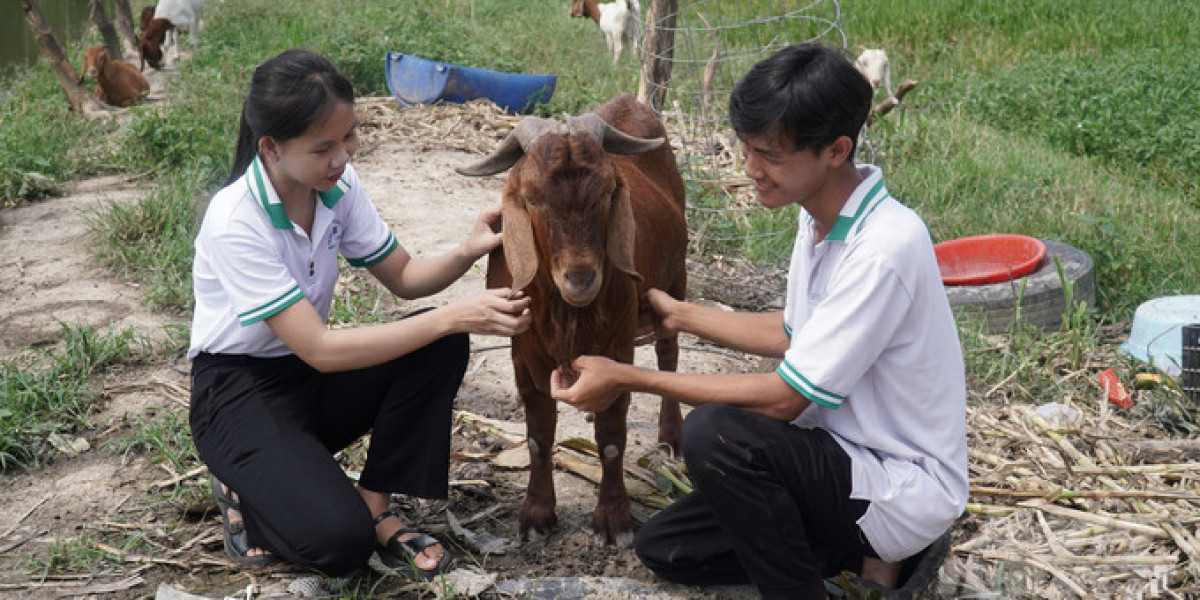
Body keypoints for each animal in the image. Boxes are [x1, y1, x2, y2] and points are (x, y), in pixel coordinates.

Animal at [456, 92, 686, 544]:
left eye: (608, 193)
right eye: (532, 199)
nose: (580, 277)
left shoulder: (617, 344)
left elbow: (612, 438)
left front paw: (613, 520)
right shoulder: (523, 349)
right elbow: (538, 435)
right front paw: (536, 514)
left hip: (676, 279)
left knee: (669, 353)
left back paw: (670, 438)